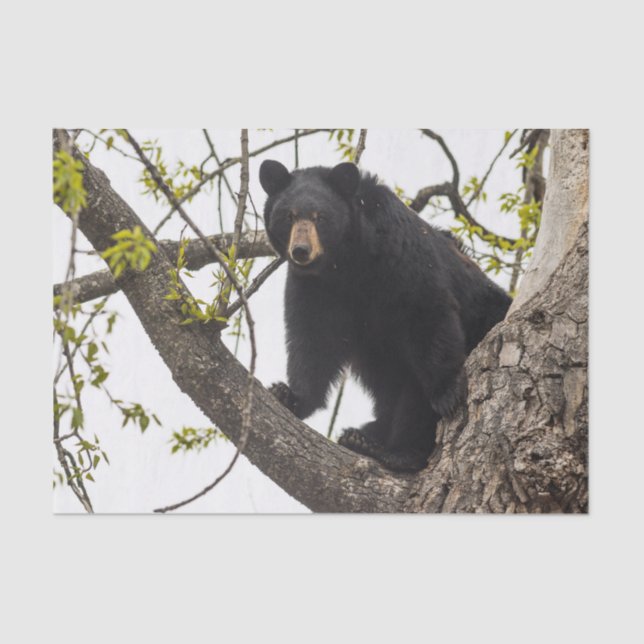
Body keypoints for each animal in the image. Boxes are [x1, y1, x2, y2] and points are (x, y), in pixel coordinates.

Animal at [259, 159, 511, 472]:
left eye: (321, 217)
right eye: (289, 216)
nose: (301, 251)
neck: (346, 263)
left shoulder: (401, 255)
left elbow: (427, 312)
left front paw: (447, 392)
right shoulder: (314, 288)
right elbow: (313, 340)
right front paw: (289, 395)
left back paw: (396, 451)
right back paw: (362, 437)